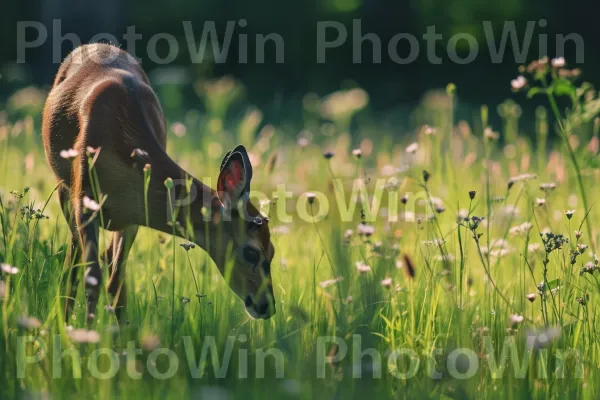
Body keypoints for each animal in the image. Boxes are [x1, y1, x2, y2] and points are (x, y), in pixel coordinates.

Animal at [42, 42, 276, 322]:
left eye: (273, 250)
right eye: (252, 252)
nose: (267, 306)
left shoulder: (133, 216)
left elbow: (117, 282)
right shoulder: (84, 200)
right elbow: (92, 278)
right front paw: (85, 333)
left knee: (104, 261)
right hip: (65, 192)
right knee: (74, 263)